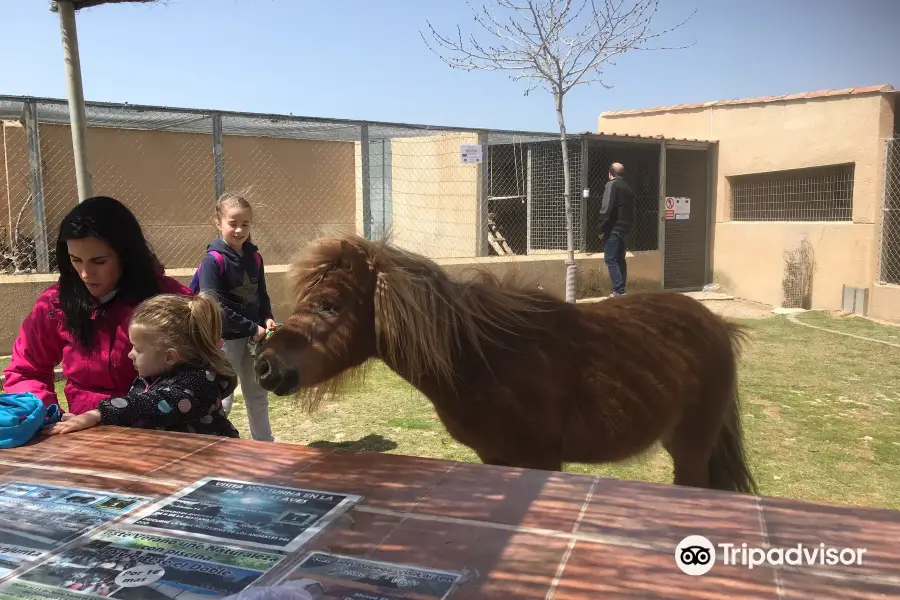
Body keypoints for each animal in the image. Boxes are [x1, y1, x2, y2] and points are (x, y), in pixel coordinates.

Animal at [253, 232, 760, 494]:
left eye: (331, 304)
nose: (265, 366)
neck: (484, 361)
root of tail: (718, 326)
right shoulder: (495, 458)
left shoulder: (541, 461)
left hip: (691, 449)